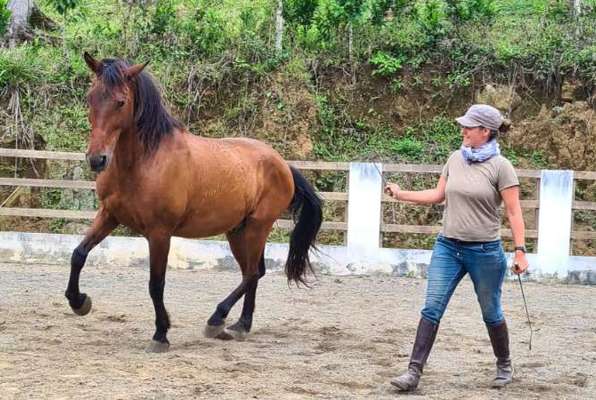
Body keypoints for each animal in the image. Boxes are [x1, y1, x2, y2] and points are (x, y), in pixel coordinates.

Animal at [64, 51, 322, 352]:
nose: (97, 159)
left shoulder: (159, 233)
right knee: (254, 272)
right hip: (238, 231)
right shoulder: (109, 215)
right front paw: (79, 302)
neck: (143, 162)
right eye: (90, 98)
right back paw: (240, 325)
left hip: (258, 227)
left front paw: (161, 334)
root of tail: (281, 163)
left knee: (251, 274)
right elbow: (78, 254)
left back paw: (217, 319)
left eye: (121, 102)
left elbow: (156, 284)